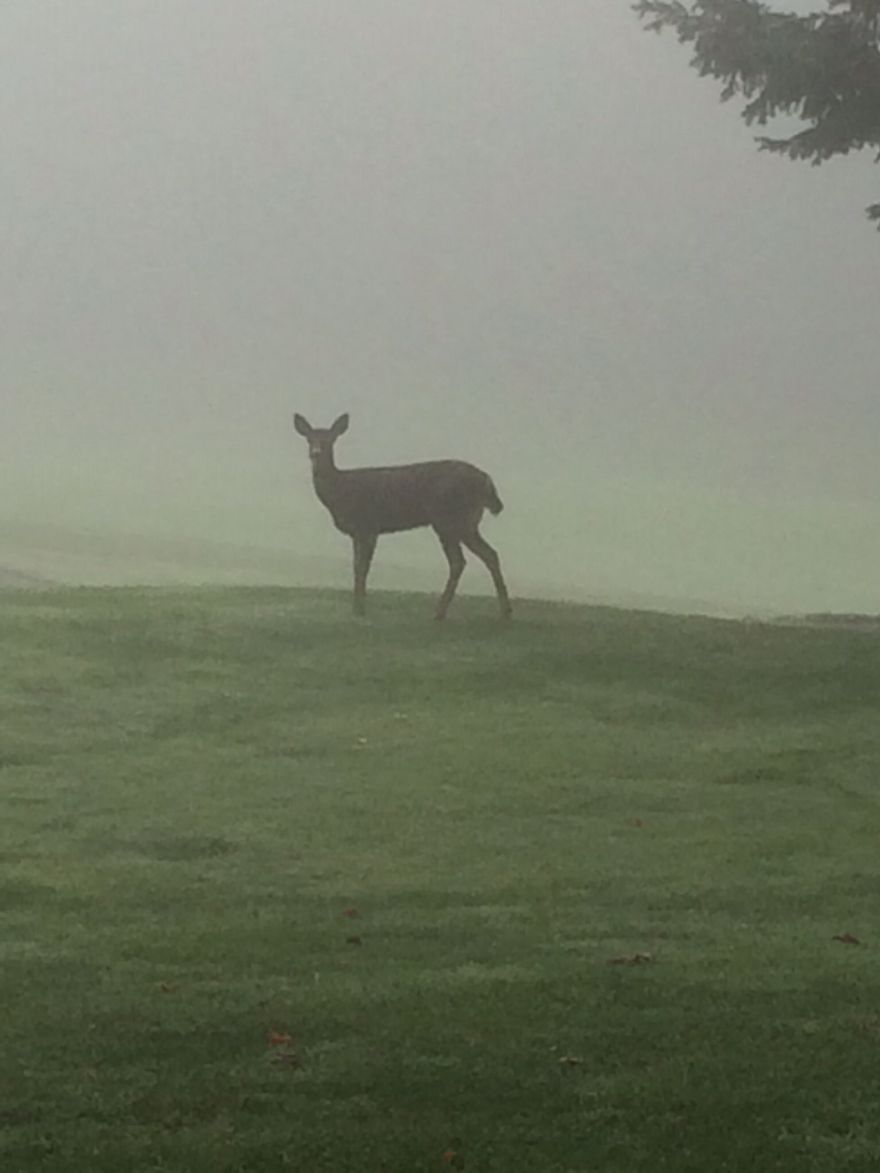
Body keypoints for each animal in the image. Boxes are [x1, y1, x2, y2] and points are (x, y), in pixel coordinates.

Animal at [293, 412, 512, 621]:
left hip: (449, 519)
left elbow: (363, 567)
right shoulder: (357, 532)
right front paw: (356, 609)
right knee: (489, 554)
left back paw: (440, 612)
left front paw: (360, 610)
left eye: (330, 440)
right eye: (309, 439)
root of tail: (487, 481)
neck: (341, 492)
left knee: (459, 561)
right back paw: (504, 612)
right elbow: (356, 566)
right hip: (466, 522)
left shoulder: (368, 525)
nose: (316, 453)